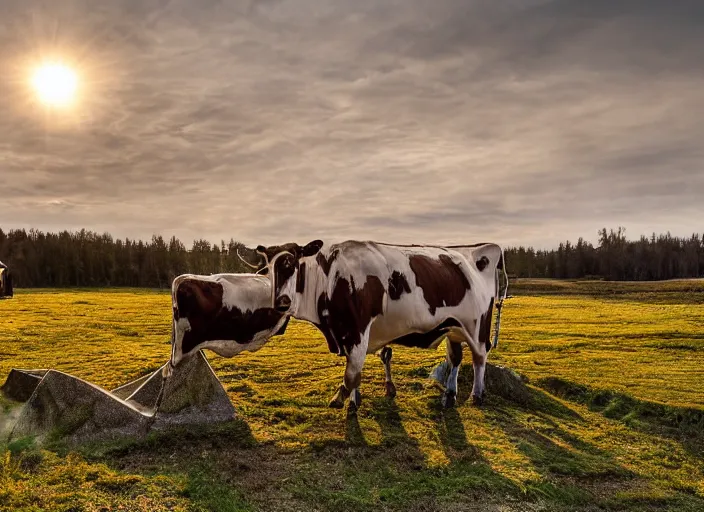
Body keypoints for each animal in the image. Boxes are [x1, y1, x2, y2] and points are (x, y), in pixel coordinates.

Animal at [256, 241, 508, 412]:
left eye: (292, 263)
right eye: (268, 269)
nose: (281, 302)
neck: (330, 278)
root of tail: (480, 249)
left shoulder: (359, 330)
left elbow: (352, 373)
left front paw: (341, 398)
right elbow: (356, 370)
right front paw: (354, 401)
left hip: (477, 326)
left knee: (479, 358)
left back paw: (476, 395)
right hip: (452, 328)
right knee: (455, 358)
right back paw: (449, 394)